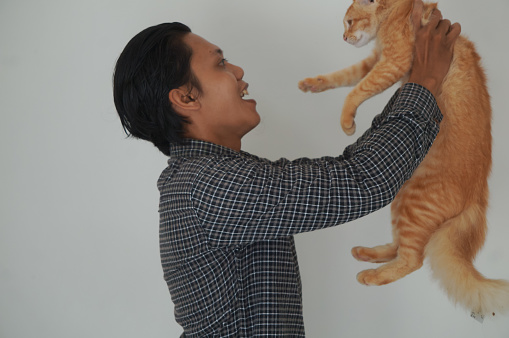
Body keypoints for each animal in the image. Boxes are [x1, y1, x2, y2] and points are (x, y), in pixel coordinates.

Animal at [298, 0, 508, 316]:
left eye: (349, 22)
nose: (343, 38)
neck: (400, 9)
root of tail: (478, 196)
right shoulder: (375, 60)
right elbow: (344, 75)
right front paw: (313, 83)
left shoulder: (391, 62)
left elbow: (355, 90)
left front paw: (346, 121)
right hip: (402, 202)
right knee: (400, 248)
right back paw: (367, 254)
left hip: (412, 204)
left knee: (413, 259)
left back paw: (370, 275)